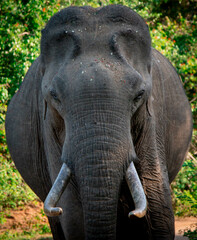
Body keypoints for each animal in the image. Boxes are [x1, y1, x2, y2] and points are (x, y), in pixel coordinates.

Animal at [5, 4, 192, 240]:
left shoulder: (152, 116)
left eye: (139, 95)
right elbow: (73, 213)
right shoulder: (48, 124)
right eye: (54, 96)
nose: (133, 213)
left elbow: (157, 205)